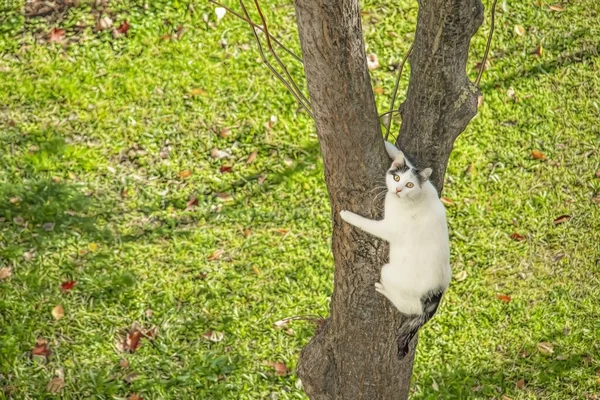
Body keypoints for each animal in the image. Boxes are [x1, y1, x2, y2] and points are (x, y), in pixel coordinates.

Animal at [340, 141, 452, 360]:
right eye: (397, 178)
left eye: (409, 185)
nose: (398, 190)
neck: (414, 198)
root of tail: (437, 292)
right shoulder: (430, 187)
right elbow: (407, 159)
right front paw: (389, 146)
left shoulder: (388, 228)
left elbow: (365, 223)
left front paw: (346, 215)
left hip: (389, 273)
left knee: (409, 308)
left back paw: (382, 288)